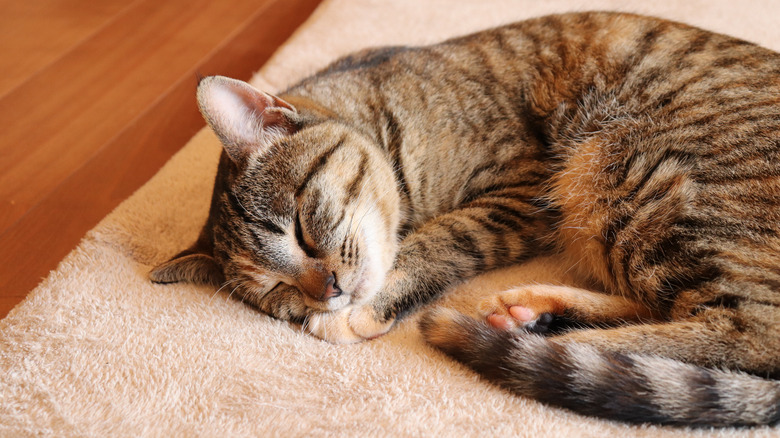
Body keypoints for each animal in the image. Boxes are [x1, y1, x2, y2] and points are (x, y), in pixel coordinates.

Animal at [151, 11, 780, 428]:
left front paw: (356, 311)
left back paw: (533, 336)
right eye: (278, 291)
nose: (327, 291)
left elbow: (438, 239)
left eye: (302, 230)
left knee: (749, 335)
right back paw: (537, 315)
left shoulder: (519, 186)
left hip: (632, 172)